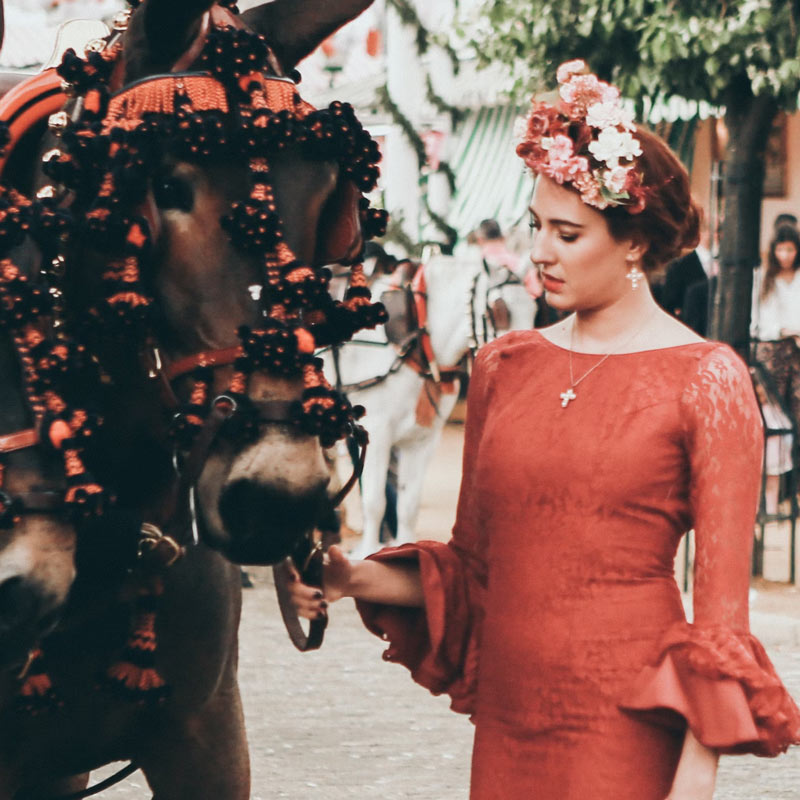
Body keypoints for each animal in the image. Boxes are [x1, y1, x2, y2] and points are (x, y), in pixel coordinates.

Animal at [322, 250, 536, 556]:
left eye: (534, 308)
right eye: (499, 310)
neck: (418, 342)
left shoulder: (422, 439)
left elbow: (408, 505)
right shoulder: (378, 429)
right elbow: (375, 501)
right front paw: (368, 551)